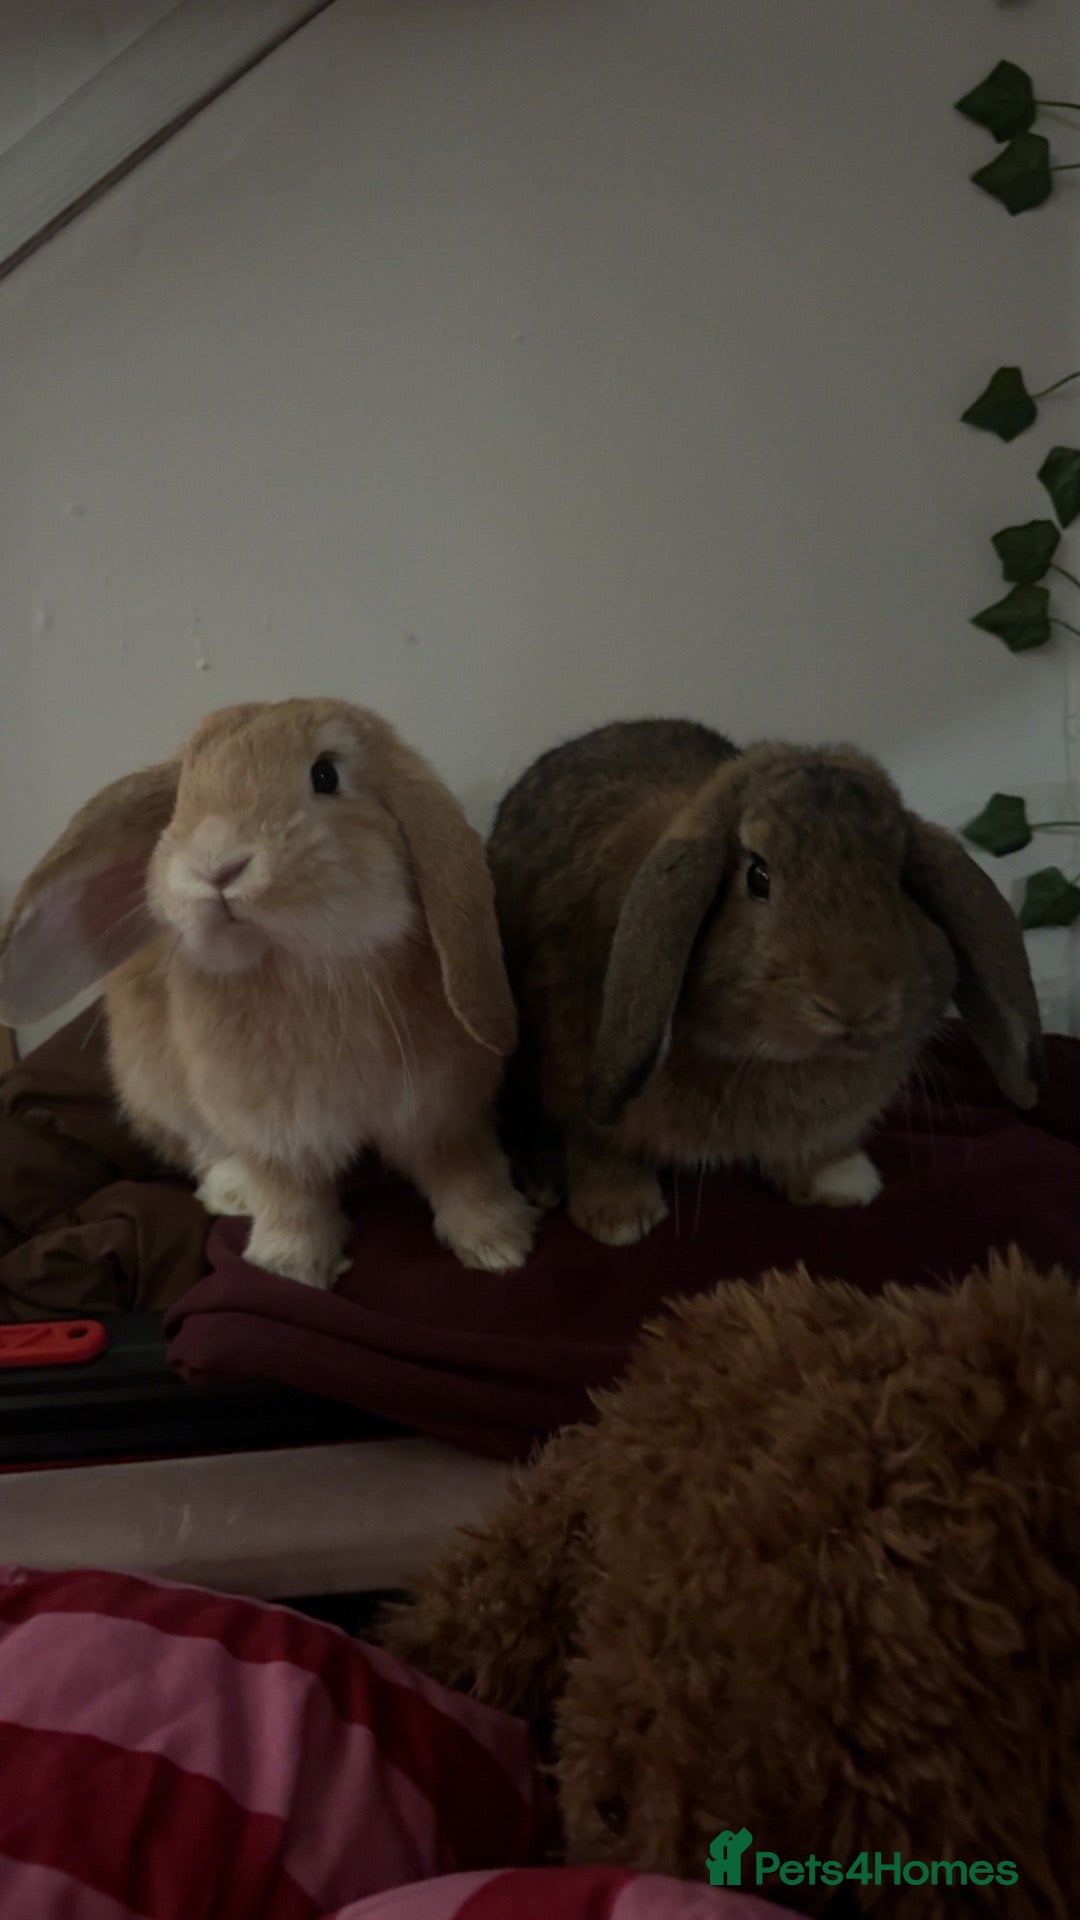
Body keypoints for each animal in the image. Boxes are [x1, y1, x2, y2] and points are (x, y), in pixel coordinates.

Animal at [0, 699, 537, 1288]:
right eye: (183, 792)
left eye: (325, 775)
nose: (215, 865)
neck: (302, 967)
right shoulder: (271, 1131)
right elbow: (291, 1196)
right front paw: (290, 1268)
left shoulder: (445, 1109)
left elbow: (464, 1172)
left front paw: (500, 1246)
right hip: (151, 1087)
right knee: (200, 1152)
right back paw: (235, 1194)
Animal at [489, 718, 1043, 1247]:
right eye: (758, 876)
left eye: (900, 879)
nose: (854, 1004)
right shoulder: (582, 1098)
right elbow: (601, 1149)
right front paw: (621, 1217)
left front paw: (843, 1181)